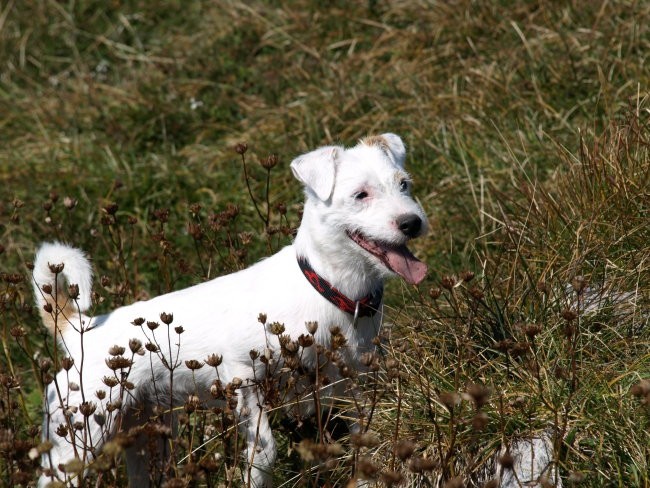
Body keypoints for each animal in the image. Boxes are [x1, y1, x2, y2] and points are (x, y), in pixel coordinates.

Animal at [33, 132, 428, 486]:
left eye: (404, 185)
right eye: (361, 195)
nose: (412, 223)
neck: (331, 289)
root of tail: (79, 328)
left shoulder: (357, 385)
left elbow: (366, 444)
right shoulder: (244, 377)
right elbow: (264, 450)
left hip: (146, 438)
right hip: (78, 440)